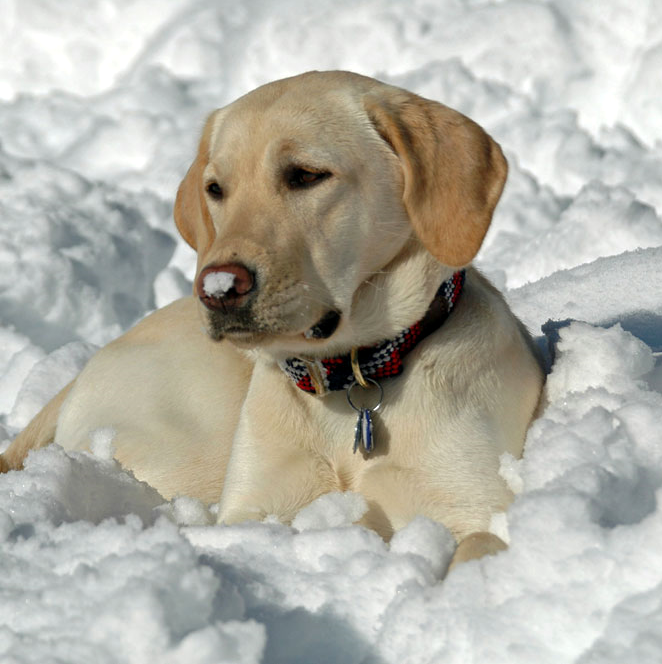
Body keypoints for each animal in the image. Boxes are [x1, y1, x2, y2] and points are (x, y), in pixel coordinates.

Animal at [0, 74, 544, 572]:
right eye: (215, 189)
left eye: (305, 175)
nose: (218, 288)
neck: (351, 379)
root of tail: (83, 372)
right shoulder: (253, 509)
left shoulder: (472, 505)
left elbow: (478, 546)